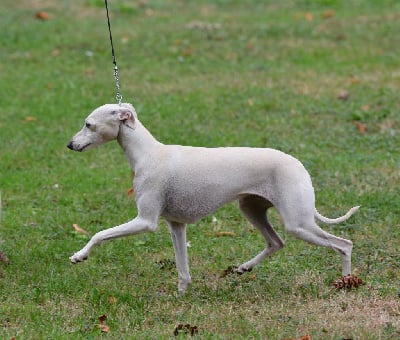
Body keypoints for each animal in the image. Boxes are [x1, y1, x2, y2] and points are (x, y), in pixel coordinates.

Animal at [68, 103, 360, 292]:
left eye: (88, 124)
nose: (69, 145)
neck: (148, 154)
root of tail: (299, 166)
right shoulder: (176, 225)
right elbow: (183, 268)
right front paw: (182, 295)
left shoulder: (145, 221)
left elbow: (99, 234)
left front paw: (79, 256)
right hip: (252, 208)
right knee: (276, 242)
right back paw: (244, 268)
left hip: (298, 223)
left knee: (343, 244)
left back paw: (345, 283)